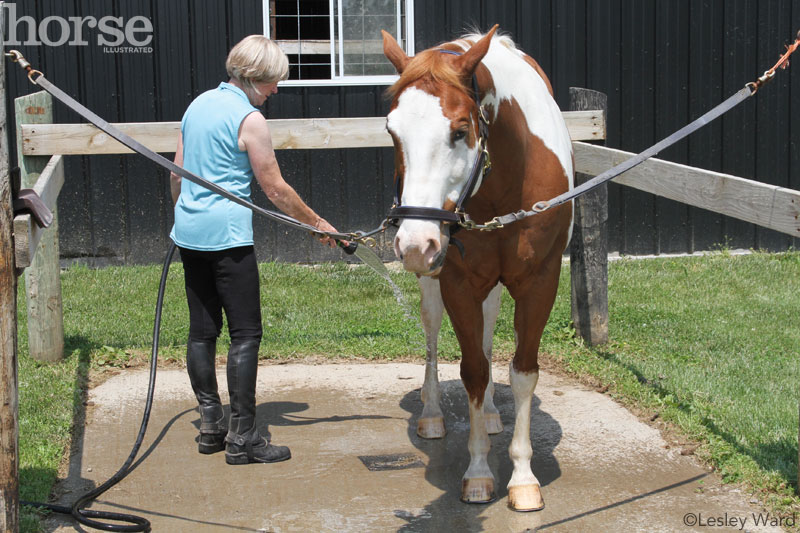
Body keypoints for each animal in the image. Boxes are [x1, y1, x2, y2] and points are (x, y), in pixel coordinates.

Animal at [382, 25, 574, 511]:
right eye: (392, 130)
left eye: (460, 129)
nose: (415, 244)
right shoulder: (457, 281)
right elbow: (471, 369)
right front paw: (479, 472)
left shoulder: (540, 282)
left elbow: (522, 373)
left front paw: (523, 478)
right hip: (436, 281)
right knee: (434, 334)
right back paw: (433, 414)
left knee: (489, 335)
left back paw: (487, 412)